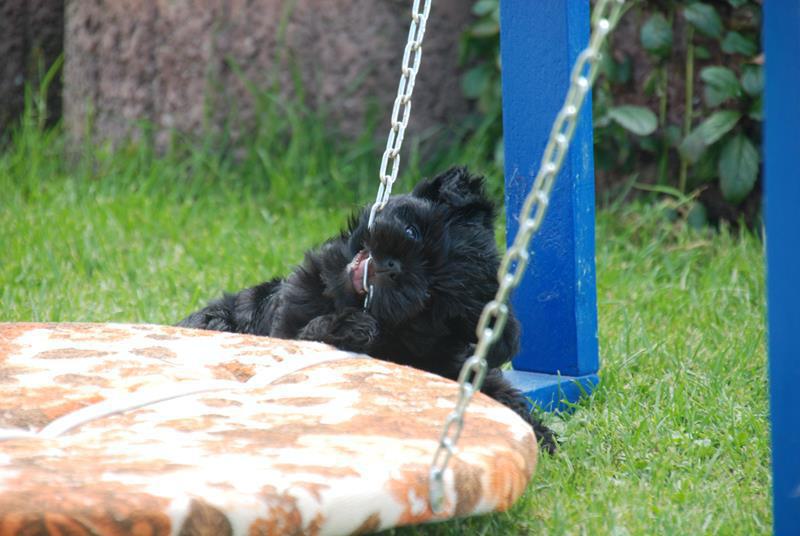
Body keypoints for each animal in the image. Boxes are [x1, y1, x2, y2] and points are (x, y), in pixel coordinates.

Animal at [179, 167, 556, 453]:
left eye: (430, 298)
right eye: (411, 231)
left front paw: (538, 433)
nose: (392, 267)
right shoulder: (287, 319)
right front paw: (352, 327)